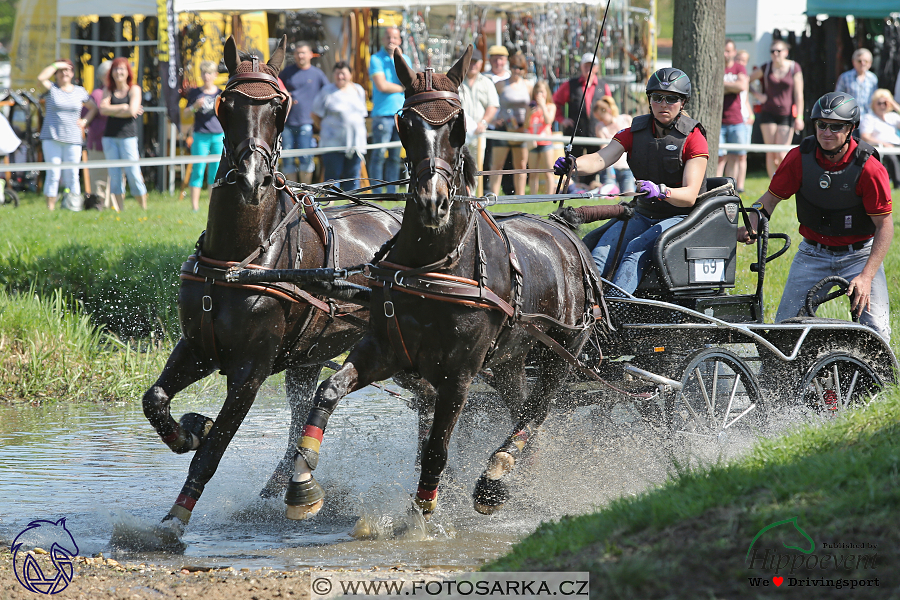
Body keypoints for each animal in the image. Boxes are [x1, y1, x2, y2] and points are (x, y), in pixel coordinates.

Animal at [140, 35, 400, 548]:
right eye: (226, 103)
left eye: (279, 107)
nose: (251, 177)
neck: (240, 258)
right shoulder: (198, 346)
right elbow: (155, 400)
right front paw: (188, 430)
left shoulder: (251, 370)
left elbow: (215, 449)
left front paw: (176, 517)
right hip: (312, 355)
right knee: (305, 413)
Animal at [284, 45, 600, 520]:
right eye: (407, 124)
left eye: (458, 123)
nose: (433, 202)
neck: (434, 268)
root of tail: (563, 225)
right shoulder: (384, 349)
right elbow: (328, 391)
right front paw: (302, 483)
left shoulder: (459, 374)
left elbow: (436, 449)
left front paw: (419, 518)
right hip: (510, 360)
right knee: (521, 407)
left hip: (564, 352)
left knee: (536, 410)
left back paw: (495, 475)